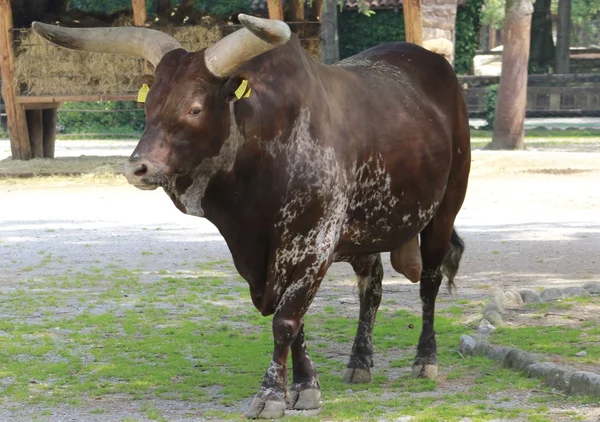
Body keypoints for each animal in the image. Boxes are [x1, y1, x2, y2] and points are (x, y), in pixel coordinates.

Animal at [32, 14, 472, 420]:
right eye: (149, 103)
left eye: (195, 107)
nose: (138, 168)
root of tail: (435, 64)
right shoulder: (265, 257)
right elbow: (295, 321)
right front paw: (305, 386)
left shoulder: (315, 245)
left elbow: (286, 321)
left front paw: (271, 395)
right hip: (367, 229)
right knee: (372, 287)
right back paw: (359, 362)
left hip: (444, 209)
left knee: (429, 283)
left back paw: (425, 359)